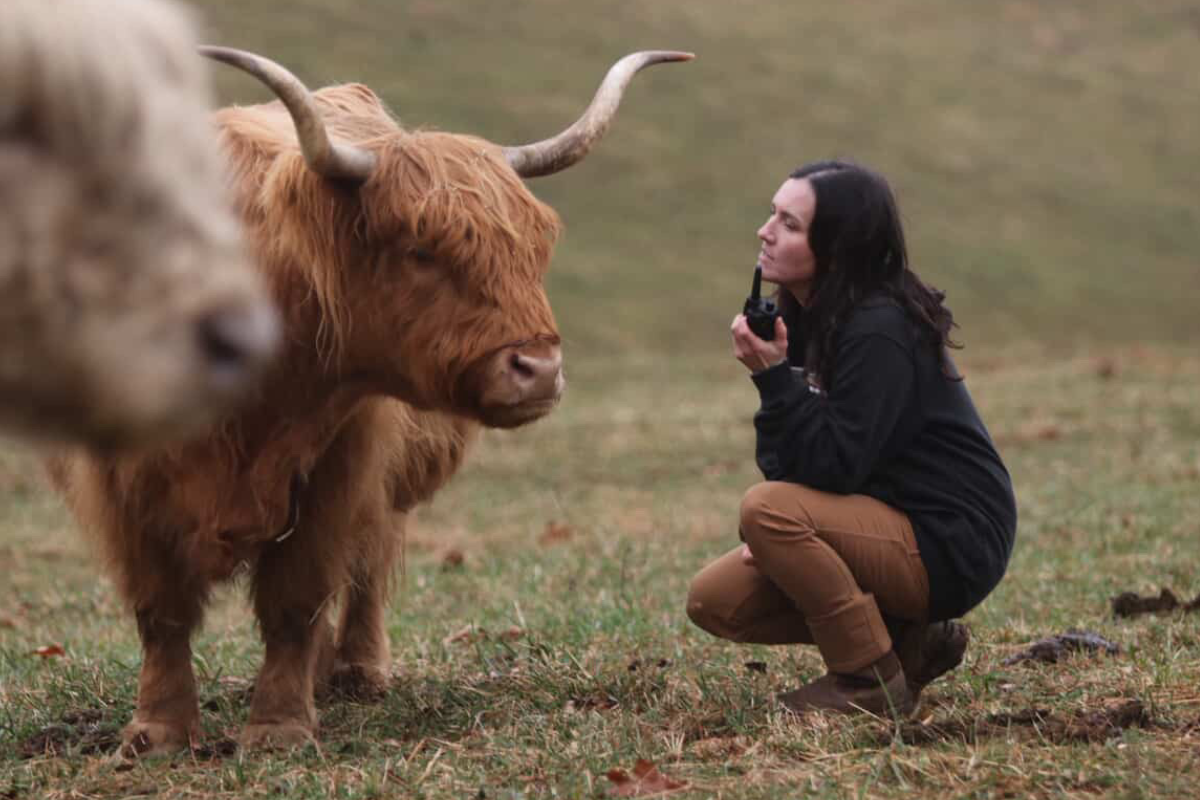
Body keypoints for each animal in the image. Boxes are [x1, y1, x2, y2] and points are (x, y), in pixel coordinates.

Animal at [49, 45, 692, 755]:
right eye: (421, 249)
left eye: (535, 245)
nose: (539, 369)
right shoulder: (120, 483)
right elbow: (160, 606)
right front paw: (160, 731)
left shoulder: (341, 463)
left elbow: (297, 598)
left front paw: (279, 727)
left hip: (388, 488)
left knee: (367, 568)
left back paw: (354, 671)